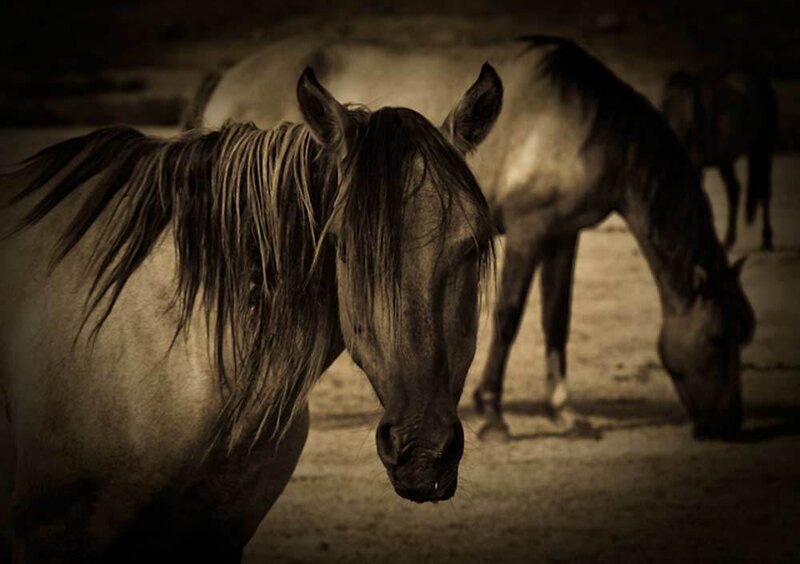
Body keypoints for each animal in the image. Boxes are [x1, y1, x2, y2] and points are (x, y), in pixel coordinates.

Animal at [197, 34, 756, 442]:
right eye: (717, 338)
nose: (728, 427)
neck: (586, 121)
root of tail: (226, 78)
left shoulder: (564, 235)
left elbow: (557, 318)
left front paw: (565, 412)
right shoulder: (530, 229)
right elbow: (509, 315)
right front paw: (494, 416)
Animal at [660, 68, 779, 251]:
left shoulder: (696, 163)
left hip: (762, 151)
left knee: (764, 191)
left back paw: (767, 239)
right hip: (726, 161)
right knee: (734, 191)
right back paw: (729, 240)